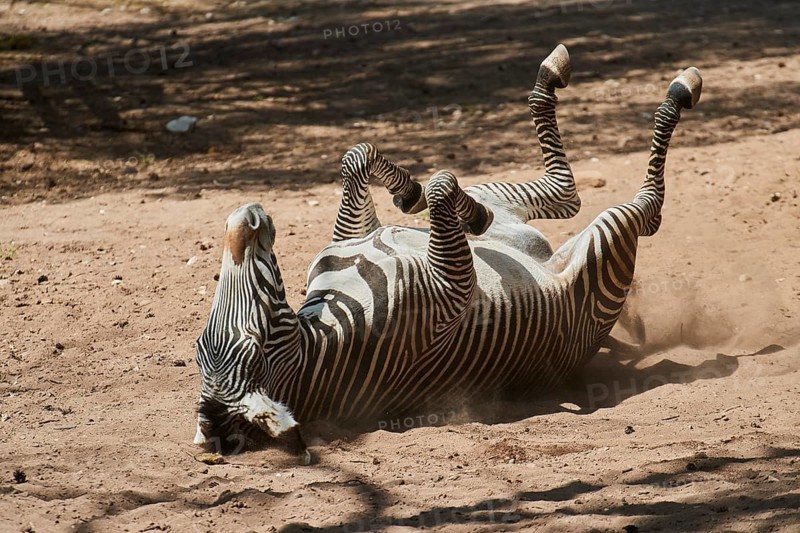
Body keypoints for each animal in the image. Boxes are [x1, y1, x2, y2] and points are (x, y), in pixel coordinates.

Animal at [193, 44, 703, 464]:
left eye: (201, 343)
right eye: (256, 343)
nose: (245, 216)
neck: (326, 331)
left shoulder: (353, 236)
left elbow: (359, 156)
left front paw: (412, 192)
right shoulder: (453, 290)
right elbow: (439, 185)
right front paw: (454, 207)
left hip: (511, 202)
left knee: (562, 194)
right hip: (607, 244)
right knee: (635, 206)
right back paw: (680, 88)